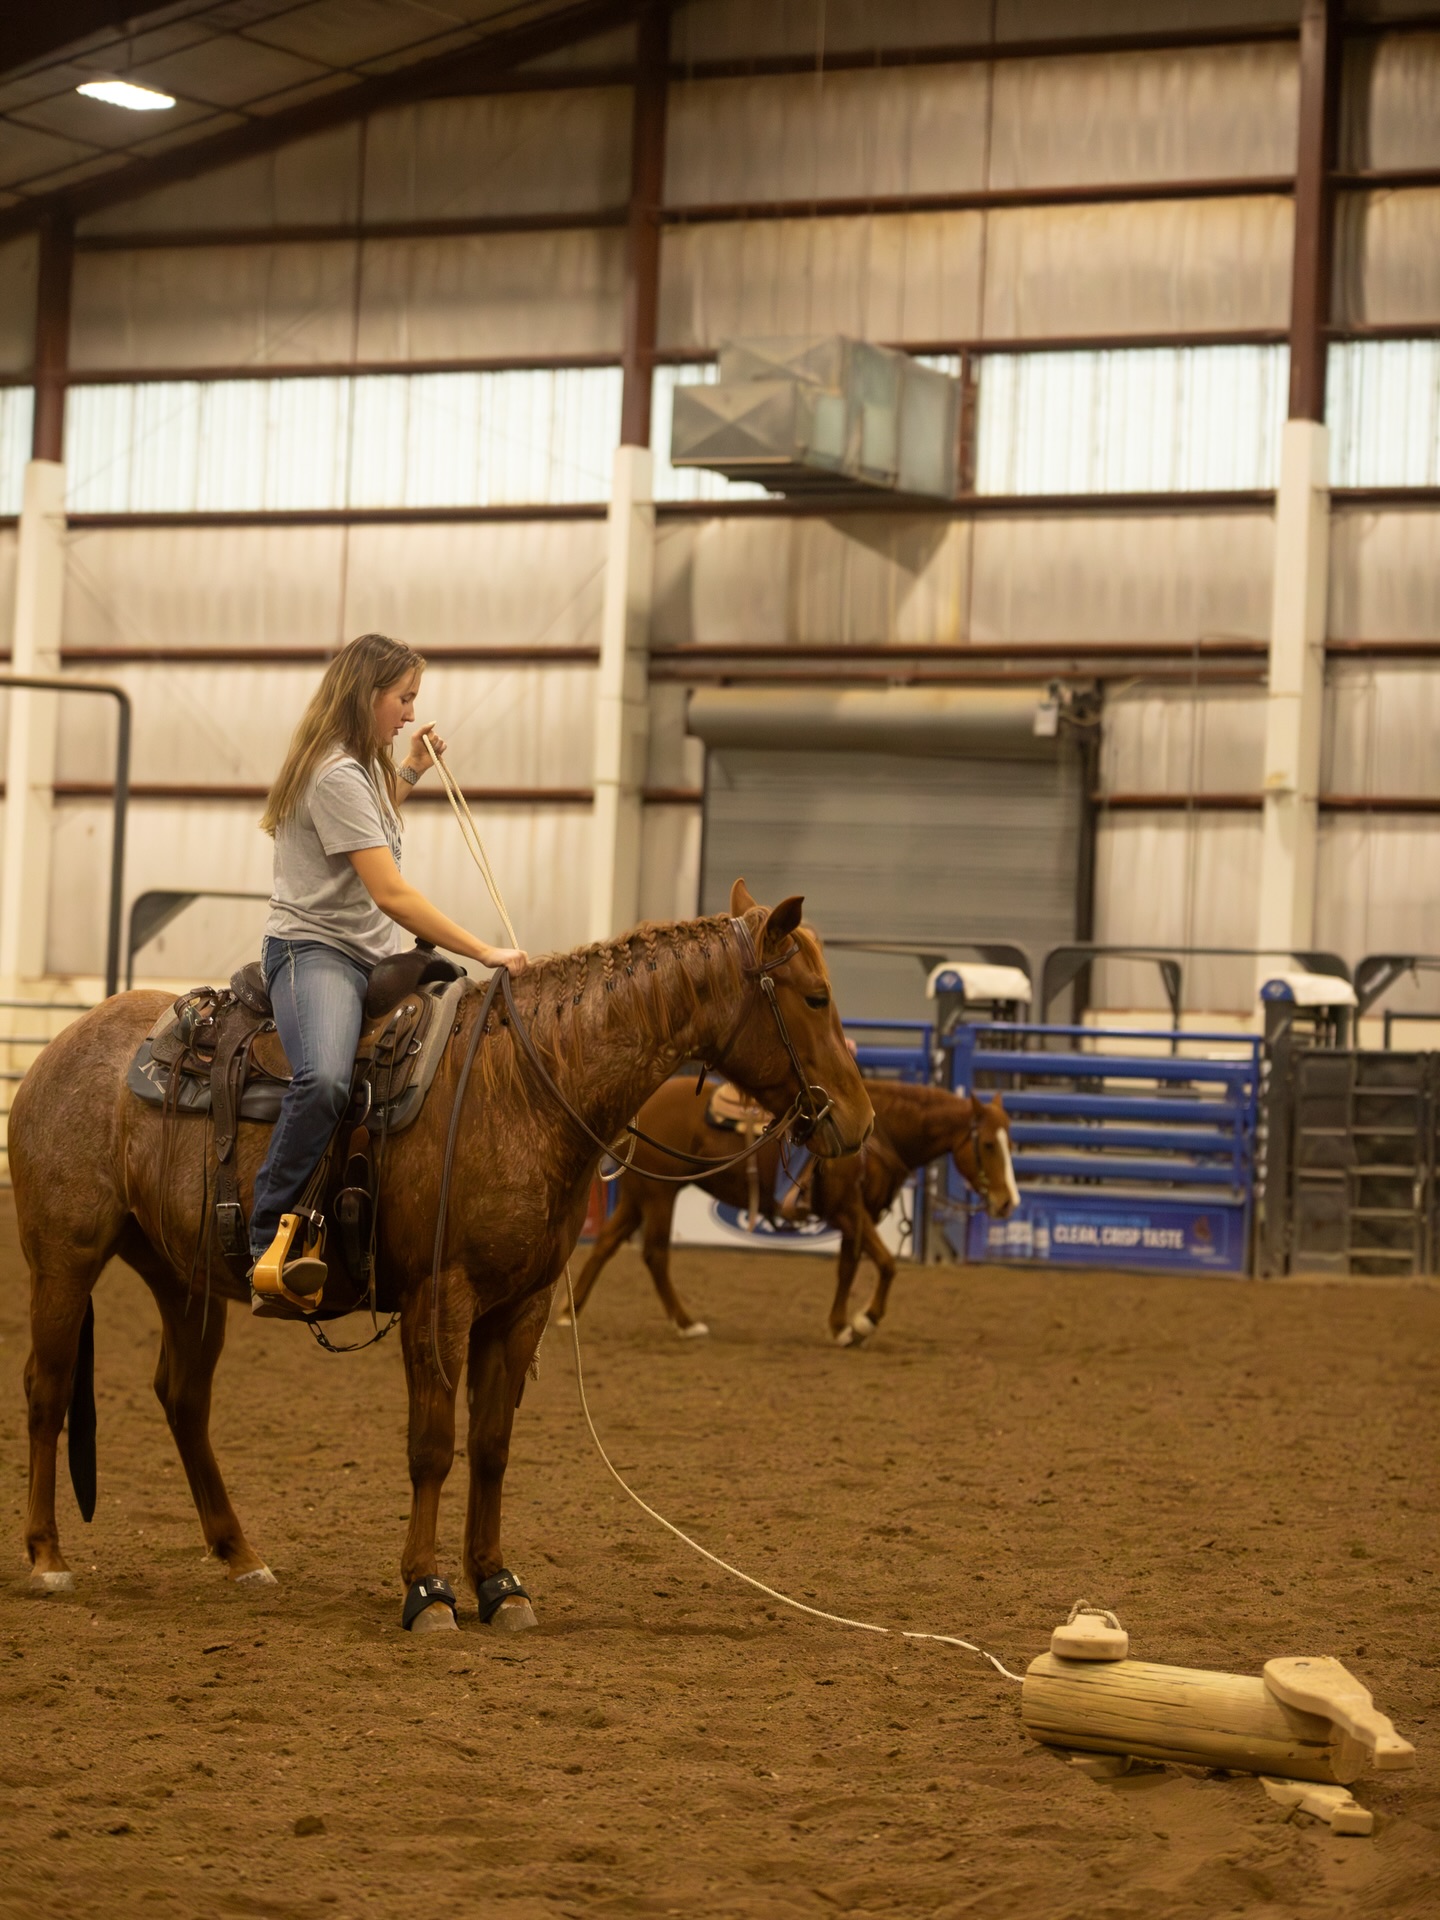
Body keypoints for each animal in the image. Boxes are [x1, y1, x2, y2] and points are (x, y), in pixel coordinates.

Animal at [11, 882, 873, 1633]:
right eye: (815, 998)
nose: (859, 1121)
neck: (524, 1084)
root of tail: (61, 1048)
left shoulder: (521, 1304)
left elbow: (490, 1447)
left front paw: (498, 1584)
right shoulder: (441, 1298)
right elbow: (432, 1447)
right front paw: (426, 1591)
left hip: (180, 1276)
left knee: (183, 1398)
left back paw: (240, 1554)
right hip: (63, 1260)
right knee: (47, 1389)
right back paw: (47, 1558)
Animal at [564, 1077, 1018, 1347]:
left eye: (1009, 1142)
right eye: (988, 1144)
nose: (1008, 1202)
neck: (880, 1134)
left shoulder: (855, 1216)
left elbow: (848, 1267)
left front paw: (839, 1325)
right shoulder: (849, 1210)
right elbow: (887, 1264)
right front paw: (863, 1321)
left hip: (639, 1192)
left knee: (606, 1243)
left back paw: (571, 1313)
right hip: (659, 1192)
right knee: (655, 1253)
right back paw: (686, 1322)